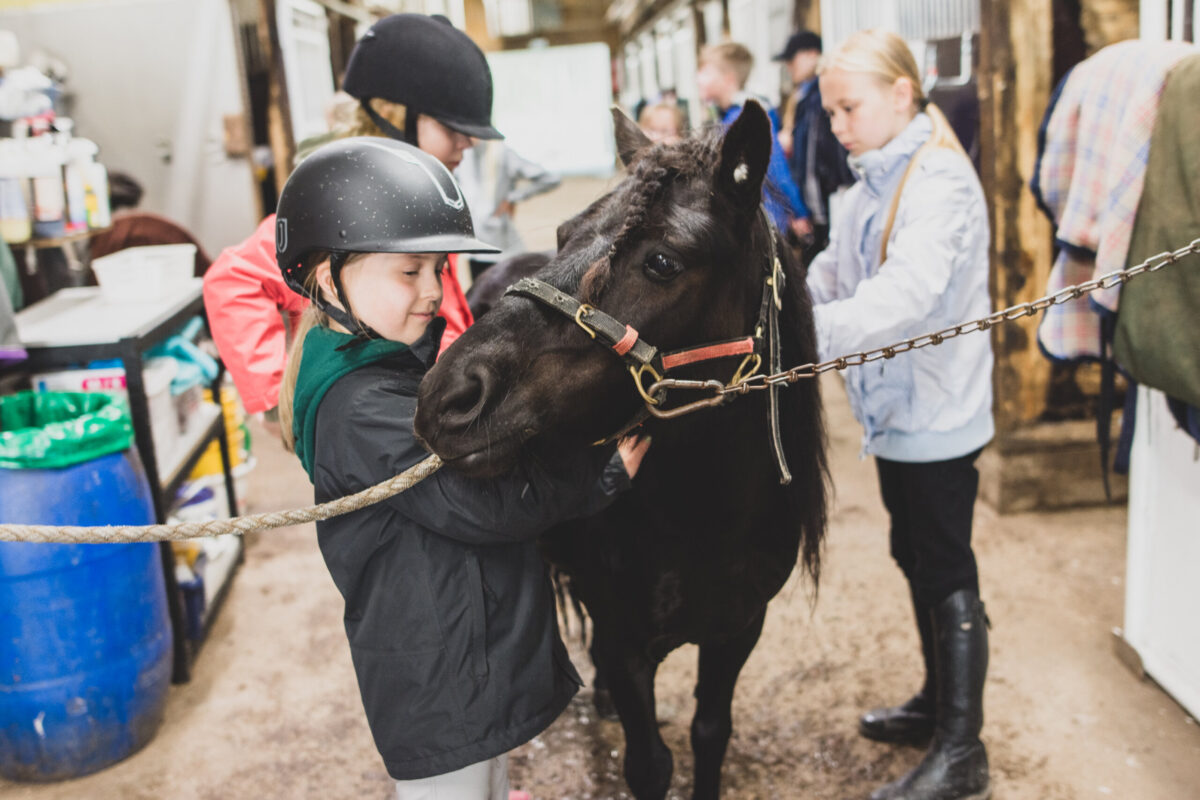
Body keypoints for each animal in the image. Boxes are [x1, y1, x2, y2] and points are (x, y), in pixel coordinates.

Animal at [412, 103, 825, 796]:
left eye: (661, 262)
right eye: (564, 232)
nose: (449, 396)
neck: (702, 520)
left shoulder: (739, 630)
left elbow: (710, 733)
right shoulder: (625, 640)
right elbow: (648, 763)